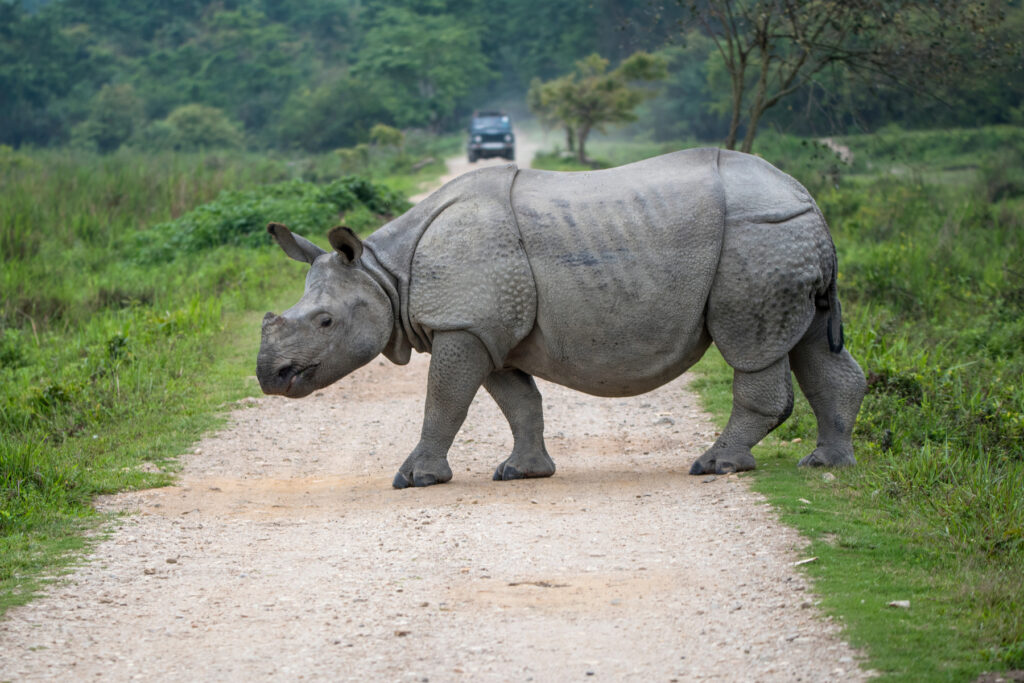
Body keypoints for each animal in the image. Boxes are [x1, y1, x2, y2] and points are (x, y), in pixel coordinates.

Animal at [256, 148, 864, 485]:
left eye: (325, 322)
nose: (269, 376)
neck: (387, 274)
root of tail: (808, 200)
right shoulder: (487, 329)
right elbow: (518, 401)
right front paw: (522, 473)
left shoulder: (464, 323)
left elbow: (444, 401)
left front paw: (414, 479)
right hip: (784, 237)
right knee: (811, 343)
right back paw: (825, 464)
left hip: (758, 237)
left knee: (752, 347)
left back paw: (713, 466)